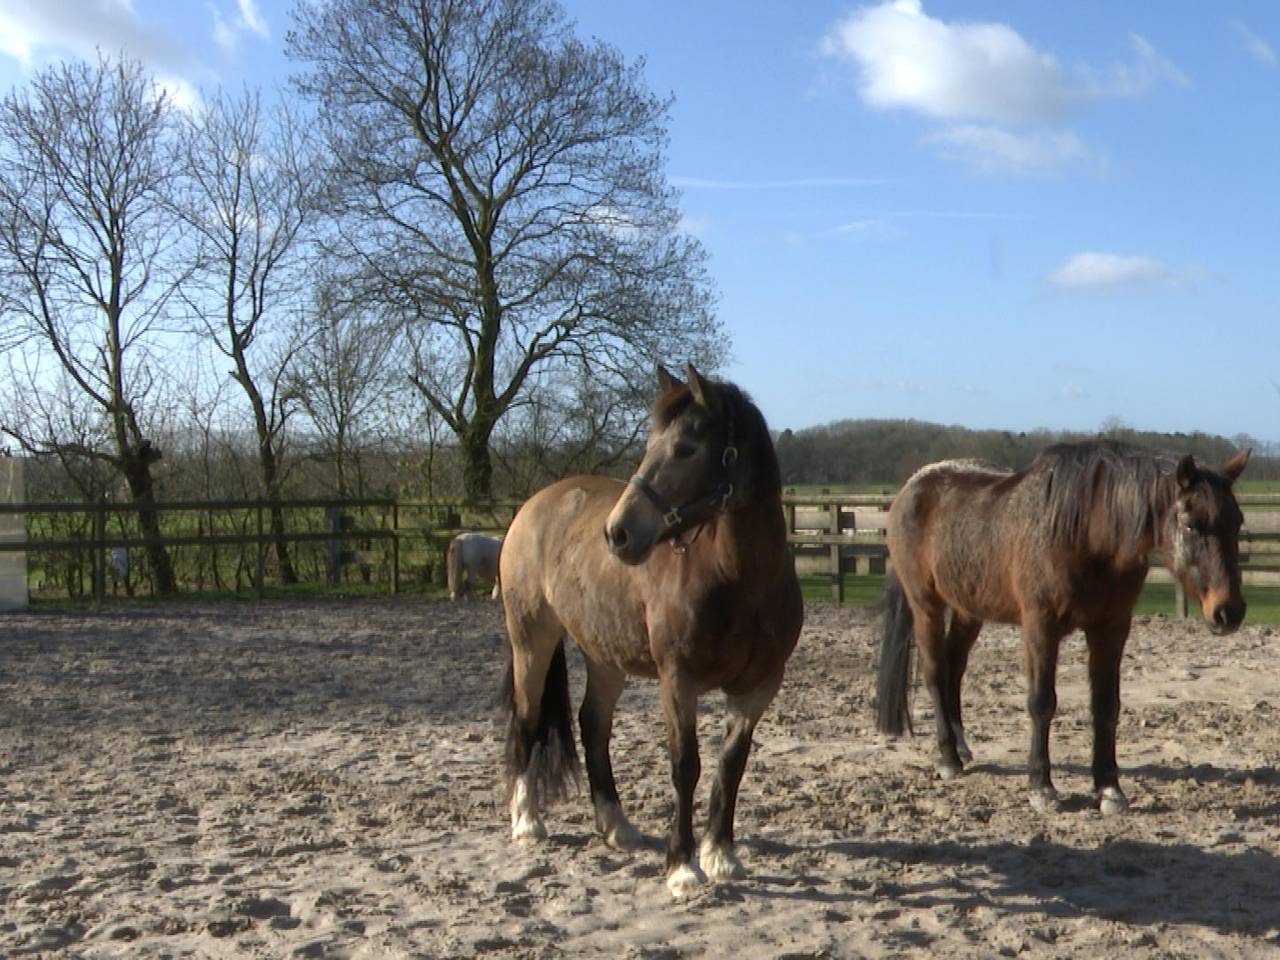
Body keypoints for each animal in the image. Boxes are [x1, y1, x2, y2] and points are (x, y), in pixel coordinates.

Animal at [499, 364, 803, 898]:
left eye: (685, 448)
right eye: (649, 445)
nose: (618, 533)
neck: (740, 580)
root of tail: (534, 505)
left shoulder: (759, 686)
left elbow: (731, 764)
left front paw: (721, 855)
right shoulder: (677, 679)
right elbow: (686, 766)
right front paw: (682, 866)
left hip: (605, 656)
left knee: (593, 724)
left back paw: (617, 827)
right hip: (530, 642)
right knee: (527, 719)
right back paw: (527, 821)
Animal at [876, 440, 1248, 814]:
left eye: (1238, 522)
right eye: (1190, 524)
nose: (1229, 612)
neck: (1085, 535)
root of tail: (912, 486)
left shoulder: (1112, 628)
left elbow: (1106, 706)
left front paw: (1109, 790)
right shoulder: (1040, 626)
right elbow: (1042, 702)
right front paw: (1042, 787)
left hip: (969, 609)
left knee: (954, 668)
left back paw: (963, 749)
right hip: (926, 605)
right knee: (936, 672)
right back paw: (948, 759)